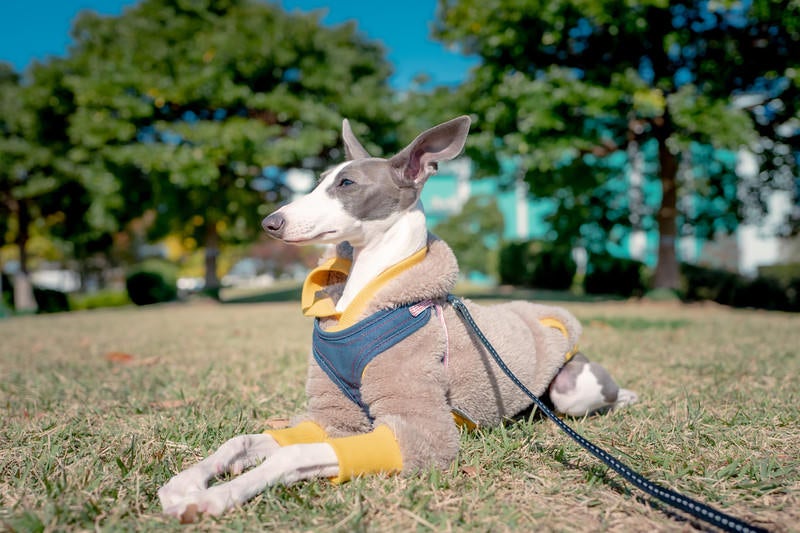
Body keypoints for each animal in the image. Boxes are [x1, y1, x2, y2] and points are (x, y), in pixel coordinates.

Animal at [158, 115, 636, 520]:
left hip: (572, 388)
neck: (365, 299)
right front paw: (187, 483)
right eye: (319, 182)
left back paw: (625, 395)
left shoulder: (420, 429)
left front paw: (217, 496)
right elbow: (242, 441)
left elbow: (290, 455)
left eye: (347, 183)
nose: (270, 222)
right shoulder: (334, 417)